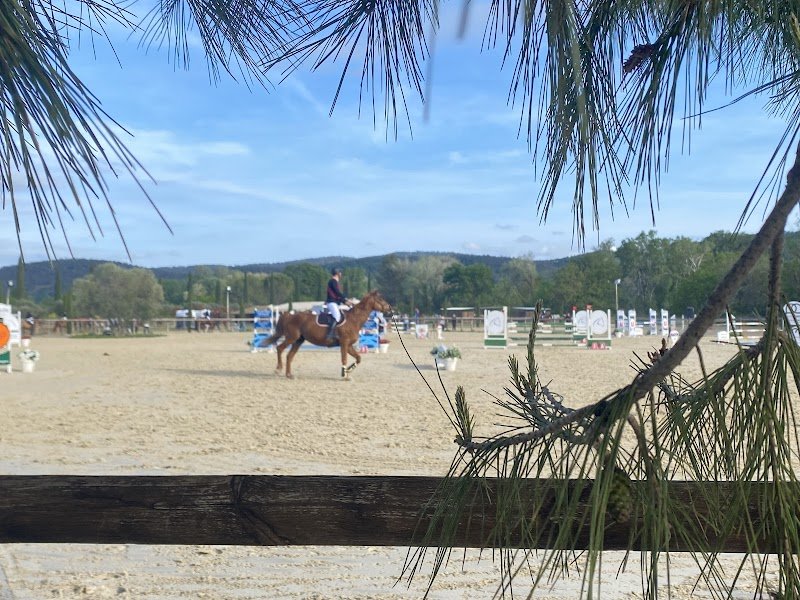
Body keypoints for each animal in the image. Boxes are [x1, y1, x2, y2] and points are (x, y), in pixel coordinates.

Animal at [263, 290, 393, 379]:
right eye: (380, 299)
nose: (390, 309)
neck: (354, 319)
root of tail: (290, 315)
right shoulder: (344, 343)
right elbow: (344, 359)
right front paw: (344, 375)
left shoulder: (349, 345)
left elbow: (358, 358)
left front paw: (348, 371)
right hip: (291, 338)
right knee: (280, 348)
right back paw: (278, 369)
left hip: (298, 340)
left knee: (289, 356)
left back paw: (289, 375)